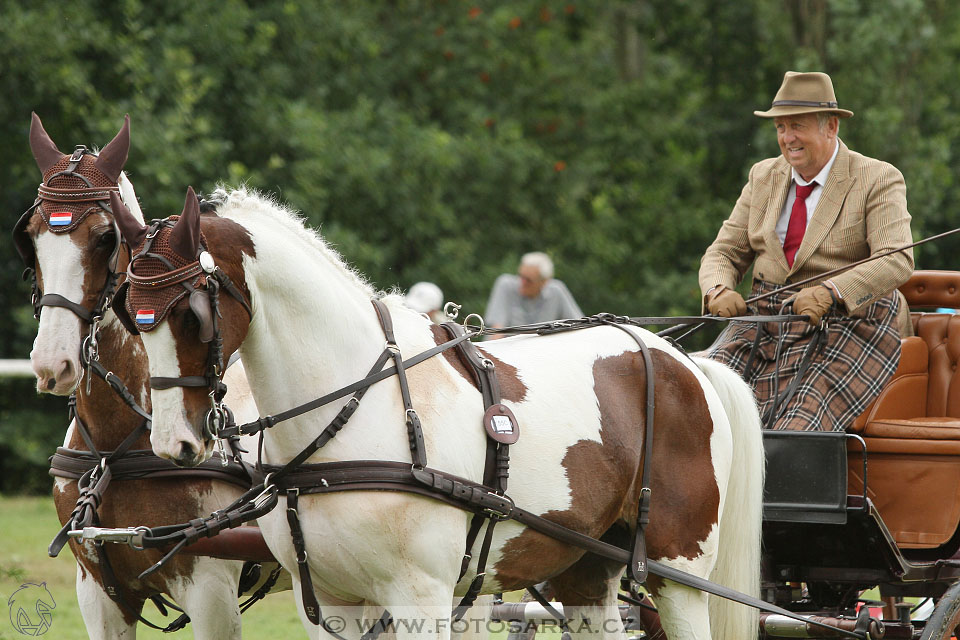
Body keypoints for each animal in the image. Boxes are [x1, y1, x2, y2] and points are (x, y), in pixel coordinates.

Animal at [21, 116, 262, 640]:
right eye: (30, 236)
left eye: (104, 238)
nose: (53, 362)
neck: (115, 449)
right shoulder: (97, 595)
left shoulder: (212, 596)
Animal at [109, 188, 760, 636]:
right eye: (127, 313)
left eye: (192, 316)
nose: (174, 442)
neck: (353, 412)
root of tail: (684, 361)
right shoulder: (328, 600)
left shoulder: (421, 595)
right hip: (586, 569)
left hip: (678, 572)